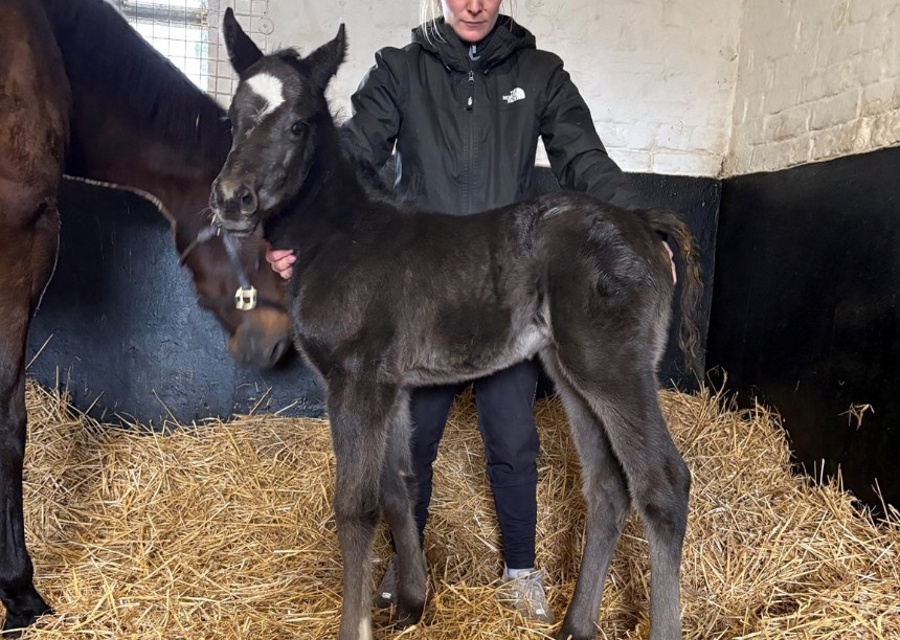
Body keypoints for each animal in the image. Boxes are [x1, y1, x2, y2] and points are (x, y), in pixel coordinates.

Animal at [211, 11, 702, 640]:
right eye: (230, 119)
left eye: (298, 125)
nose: (232, 200)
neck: (343, 237)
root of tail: (642, 222)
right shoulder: (391, 387)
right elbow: (401, 485)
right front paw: (412, 603)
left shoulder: (355, 381)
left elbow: (356, 505)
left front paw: (362, 620)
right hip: (571, 375)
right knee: (607, 489)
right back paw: (575, 625)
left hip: (612, 367)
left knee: (662, 485)